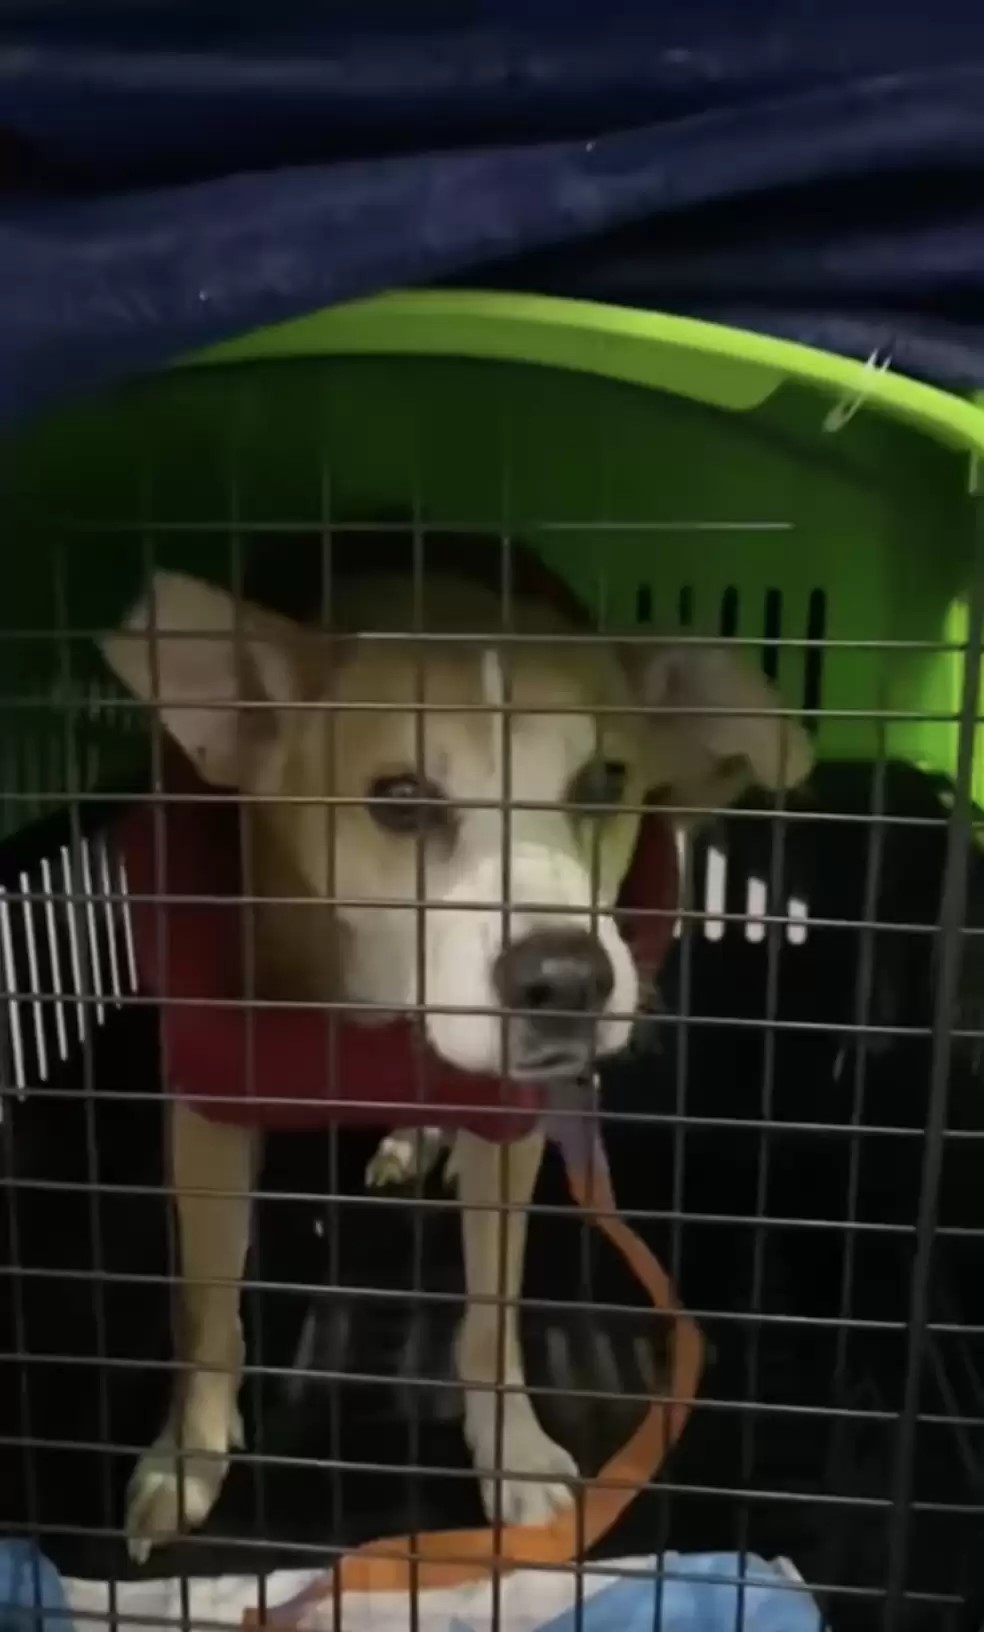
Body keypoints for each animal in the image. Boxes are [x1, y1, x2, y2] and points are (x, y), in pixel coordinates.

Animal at [99, 558, 812, 1553]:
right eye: (399, 801)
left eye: (604, 780)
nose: (566, 979)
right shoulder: (208, 1113)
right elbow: (207, 1317)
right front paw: (186, 1457)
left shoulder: (506, 1127)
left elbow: (490, 1316)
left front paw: (512, 1449)